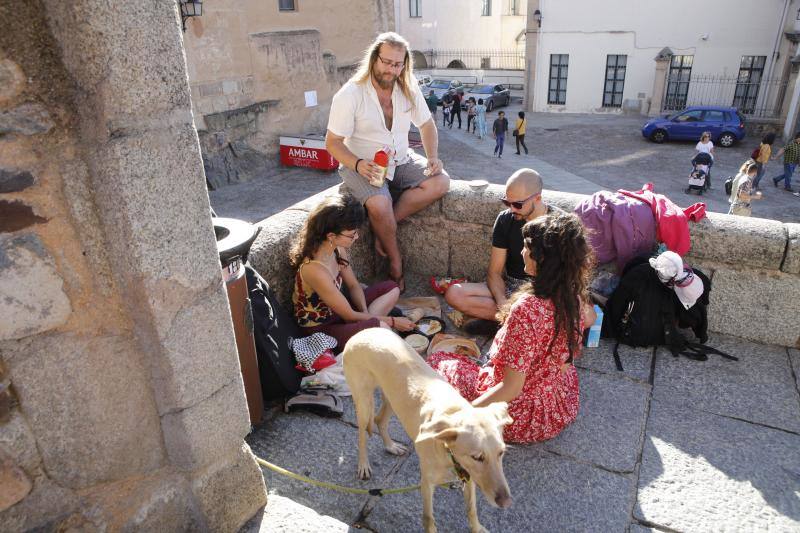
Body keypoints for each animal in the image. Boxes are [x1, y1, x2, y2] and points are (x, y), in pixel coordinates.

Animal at [344, 326, 512, 528]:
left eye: (501, 453)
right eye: (477, 457)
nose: (506, 503)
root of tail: (362, 332)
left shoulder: (469, 476)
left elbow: (472, 510)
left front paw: (478, 528)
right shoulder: (427, 483)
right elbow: (429, 519)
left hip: (393, 398)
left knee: (380, 420)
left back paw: (391, 446)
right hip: (363, 401)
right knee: (362, 435)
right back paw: (363, 465)